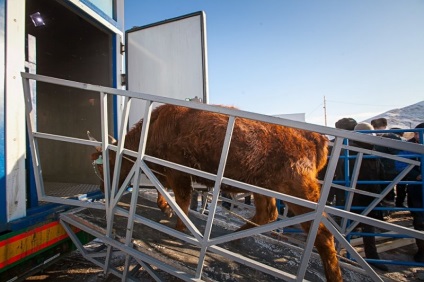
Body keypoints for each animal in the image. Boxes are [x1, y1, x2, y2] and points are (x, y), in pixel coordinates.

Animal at [91, 104, 342, 280]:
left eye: (106, 164)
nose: (102, 189)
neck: (155, 126)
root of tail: (313, 136)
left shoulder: (179, 172)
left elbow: (182, 199)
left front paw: (179, 227)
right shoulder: (166, 171)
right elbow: (165, 190)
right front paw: (165, 209)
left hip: (300, 194)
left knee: (322, 235)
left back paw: (334, 276)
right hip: (262, 188)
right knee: (268, 213)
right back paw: (235, 237)